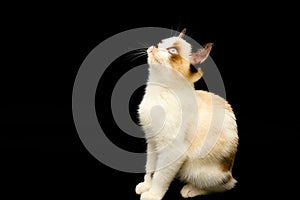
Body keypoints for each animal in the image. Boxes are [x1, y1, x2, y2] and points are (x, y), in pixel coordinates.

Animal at [135, 28, 238, 200]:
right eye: (160, 43)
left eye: (172, 51)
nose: (154, 46)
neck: (158, 90)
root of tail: (229, 171)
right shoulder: (152, 142)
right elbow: (150, 169)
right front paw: (146, 186)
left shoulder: (172, 150)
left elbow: (160, 176)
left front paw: (153, 194)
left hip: (192, 168)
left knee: (225, 185)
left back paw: (191, 190)